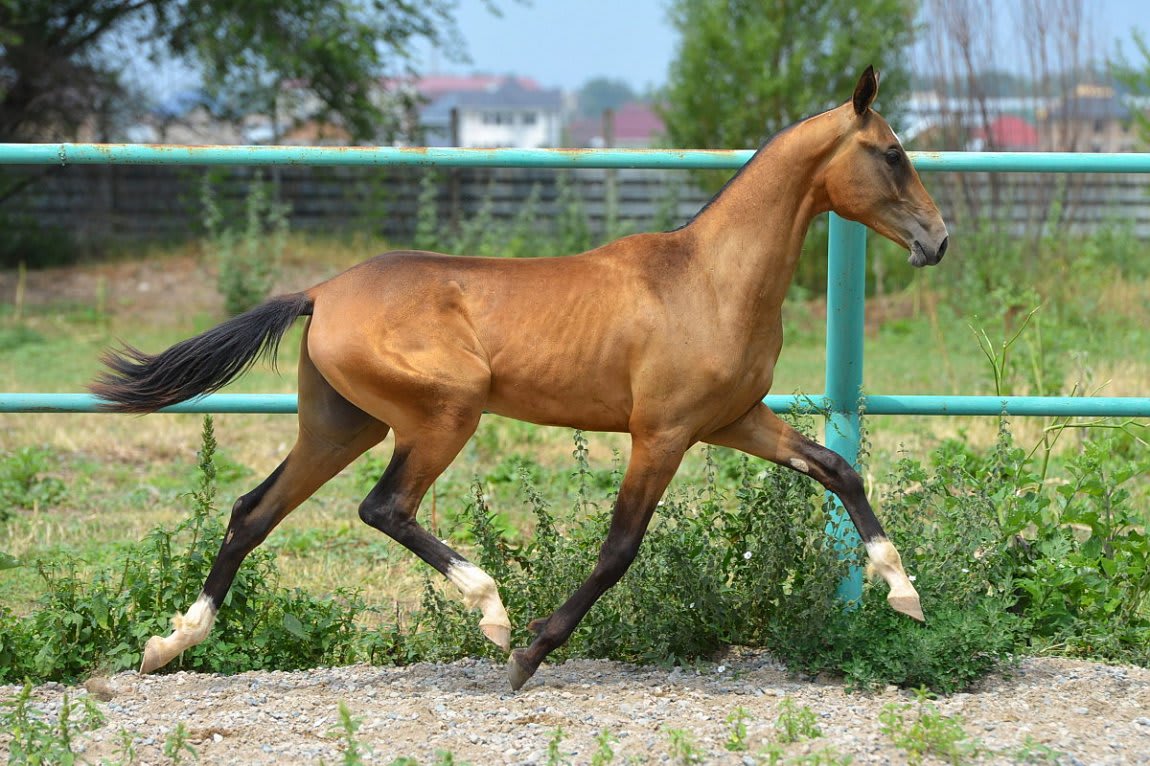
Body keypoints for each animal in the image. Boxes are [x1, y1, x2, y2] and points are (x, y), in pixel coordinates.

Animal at [90, 67, 948, 690]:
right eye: (893, 153)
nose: (937, 240)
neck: (709, 279)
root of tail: (322, 291)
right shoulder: (662, 432)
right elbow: (619, 549)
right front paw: (531, 653)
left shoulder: (736, 419)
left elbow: (837, 468)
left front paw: (904, 594)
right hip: (445, 413)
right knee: (383, 507)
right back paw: (492, 610)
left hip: (342, 425)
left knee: (252, 512)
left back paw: (169, 645)